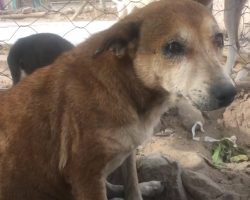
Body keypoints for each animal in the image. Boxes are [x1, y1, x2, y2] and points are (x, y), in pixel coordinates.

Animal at [0, 0, 236, 200]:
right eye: (173, 47)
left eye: (219, 39)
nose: (229, 93)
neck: (126, 89)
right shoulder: (86, 176)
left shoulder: (128, 151)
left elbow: (131, 184)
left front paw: (138, 189)